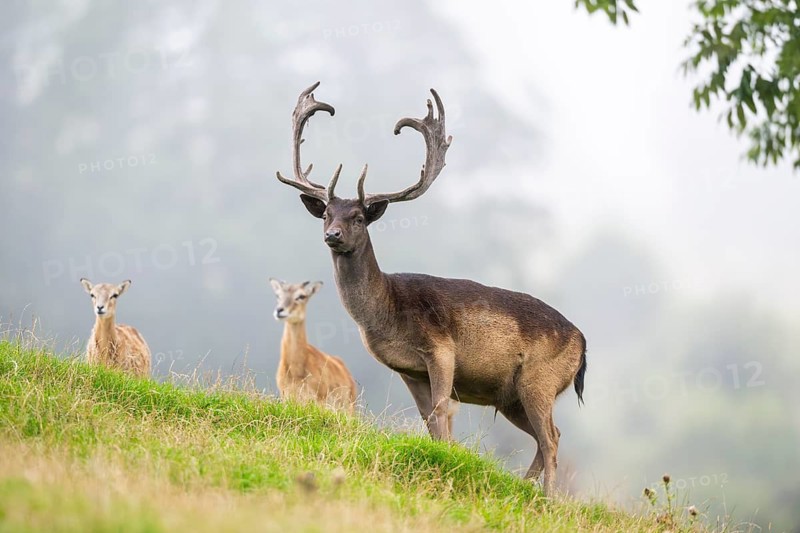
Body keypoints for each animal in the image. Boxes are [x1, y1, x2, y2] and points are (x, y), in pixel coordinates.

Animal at [270, 278, 358, 413]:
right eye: (278, 295)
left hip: (349, 407)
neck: (296, 370)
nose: (280, 310)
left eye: (301, 296)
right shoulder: (286, 395)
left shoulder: (320, 397)